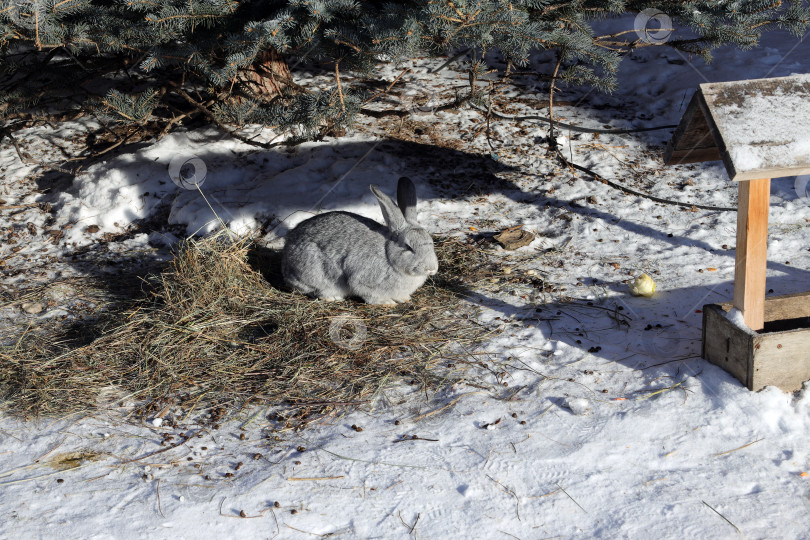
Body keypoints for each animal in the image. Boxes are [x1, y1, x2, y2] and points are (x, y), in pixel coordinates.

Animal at [282, 177, 438, 304]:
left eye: (431, 243)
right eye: (408, 247)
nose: (431, 268)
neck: (389, 256)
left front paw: (404, 299)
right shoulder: (363, 281)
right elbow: (370, 295)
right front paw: (387, 302)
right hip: (315, 272)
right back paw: (333, 297)